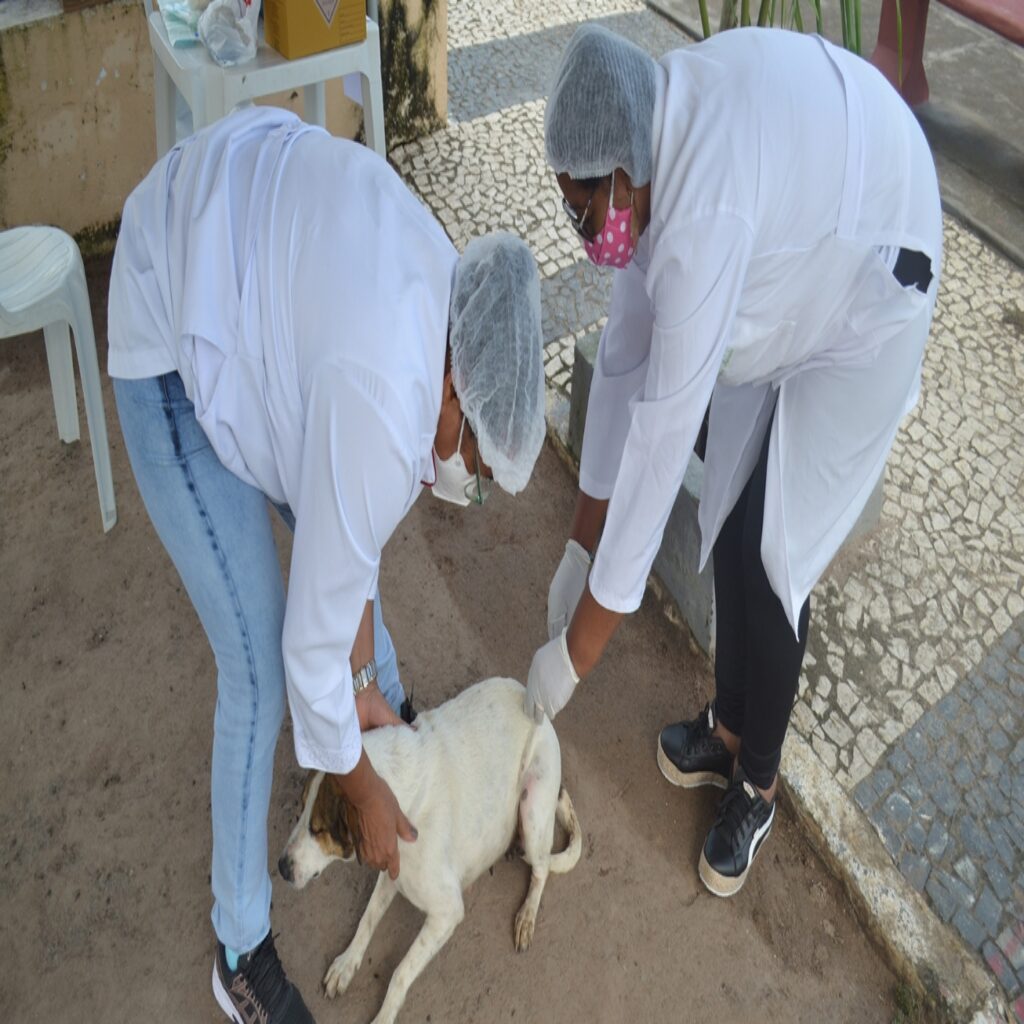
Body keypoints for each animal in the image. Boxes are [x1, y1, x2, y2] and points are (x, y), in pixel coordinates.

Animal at [278, 677, 582, 1024]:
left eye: (319, 829)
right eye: (300, 809)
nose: (281, 868)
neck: (402, 800)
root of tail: (537, 707)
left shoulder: (447, 912)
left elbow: (400, 972)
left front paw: (383, 1017)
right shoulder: (393, 871)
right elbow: (367, 920)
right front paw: (346, 963)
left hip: (533, 813)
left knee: (541, 868)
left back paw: (528, 914)